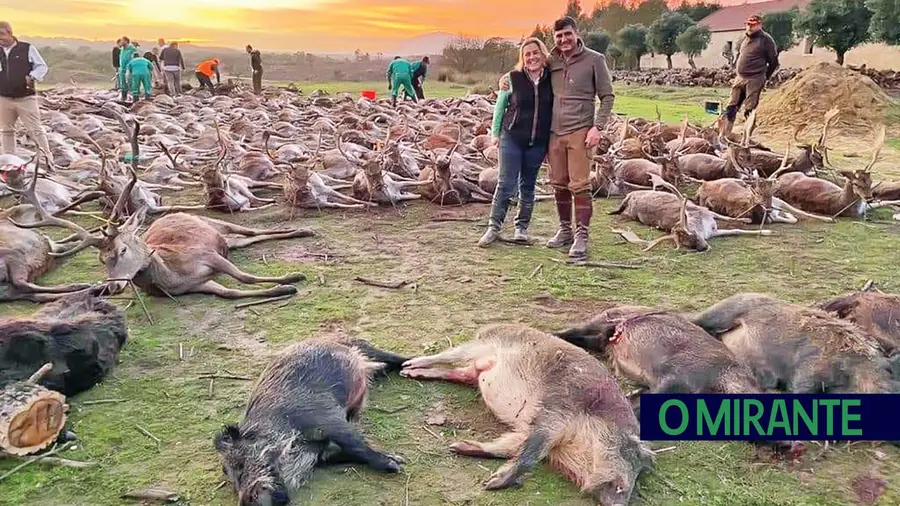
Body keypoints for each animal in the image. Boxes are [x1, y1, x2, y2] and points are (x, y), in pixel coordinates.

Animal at [612, 181, 772, 253]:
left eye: (693, 233)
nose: (703, 247)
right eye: (687, 244)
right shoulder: (713, 231)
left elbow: (732, 222)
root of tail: (629, 196)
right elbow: (735, 230)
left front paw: (754, 224)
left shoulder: (707, 212)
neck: (704, 228)